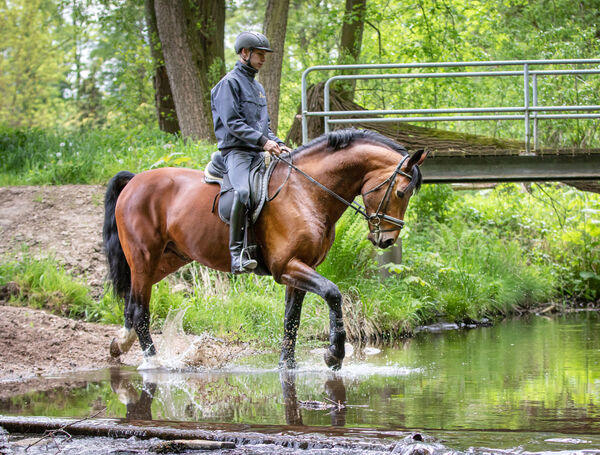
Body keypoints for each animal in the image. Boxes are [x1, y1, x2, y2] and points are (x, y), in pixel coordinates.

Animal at [104, 127, 426, 370]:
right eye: (401, 192)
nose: (387, 240)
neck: (306, 191)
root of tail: (135, 181)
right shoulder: (287, 266)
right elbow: (333, 293)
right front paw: (334, 355)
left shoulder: (299, 270)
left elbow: (291, 318)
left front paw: (287, 365)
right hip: (144, 258)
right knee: (140, 309)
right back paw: (152, 361)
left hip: (166, 260)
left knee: (132, 302)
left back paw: (120, 344)